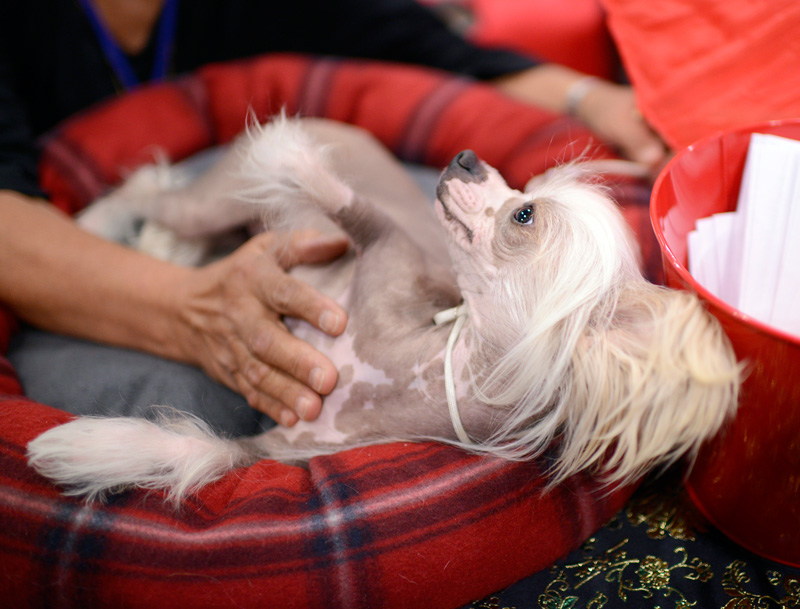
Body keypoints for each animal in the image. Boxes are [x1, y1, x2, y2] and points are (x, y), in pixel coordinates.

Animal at [25, 116, 740, 502]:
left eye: (523, 215)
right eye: (526, 190)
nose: (468, 157)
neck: (396, 373)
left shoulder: (273, 448)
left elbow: (198, 451)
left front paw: (82, 447)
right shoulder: (378, 238)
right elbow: (338, 197)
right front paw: (288, 152)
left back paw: (156, 243)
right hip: (217, 200)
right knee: (153, 187)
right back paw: (99, 221)